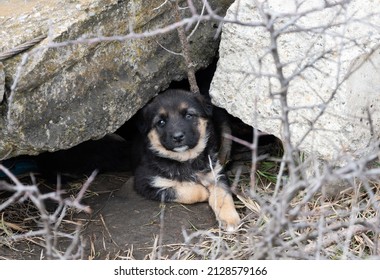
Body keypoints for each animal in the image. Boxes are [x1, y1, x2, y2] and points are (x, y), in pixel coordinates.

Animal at [134, 88, 240, 231]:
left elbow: (223, 194)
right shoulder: (147, 181)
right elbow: (181, 189)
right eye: (161, 122)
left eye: (189, 115)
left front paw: (230, 219)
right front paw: (204, 192)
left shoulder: (216, 173)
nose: (178, 137)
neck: (185, 158)